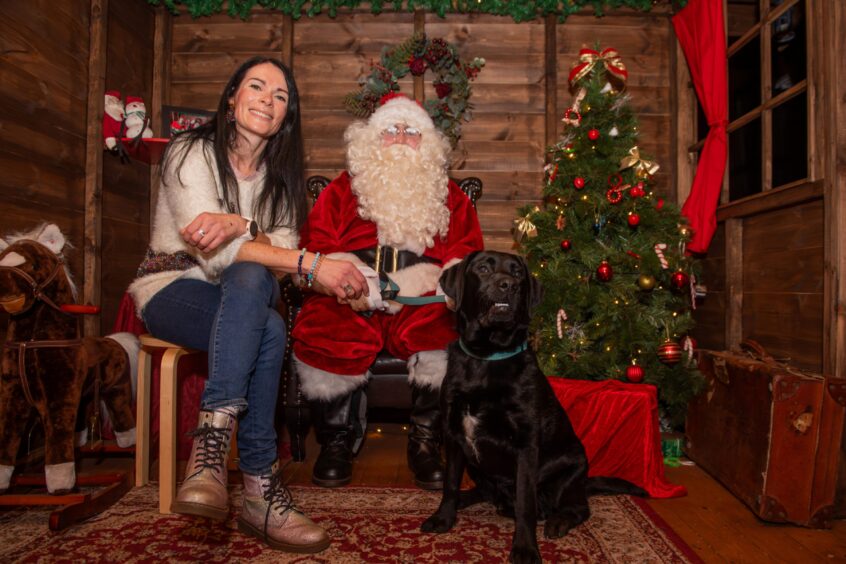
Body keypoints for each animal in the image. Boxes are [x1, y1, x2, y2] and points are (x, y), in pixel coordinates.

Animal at [420, 252, 644, 564]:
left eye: (518, 273)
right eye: (482, 268)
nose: (509, 285)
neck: (486, 357)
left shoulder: (525, 444)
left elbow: (526, 504)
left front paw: (525, 548)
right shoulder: (453, 434)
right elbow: (450, 484)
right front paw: (443, 518)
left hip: (572, 467)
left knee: (576, 507)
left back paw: (557, 521)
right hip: (478, 466)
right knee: (487, 492)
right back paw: (471, 500)